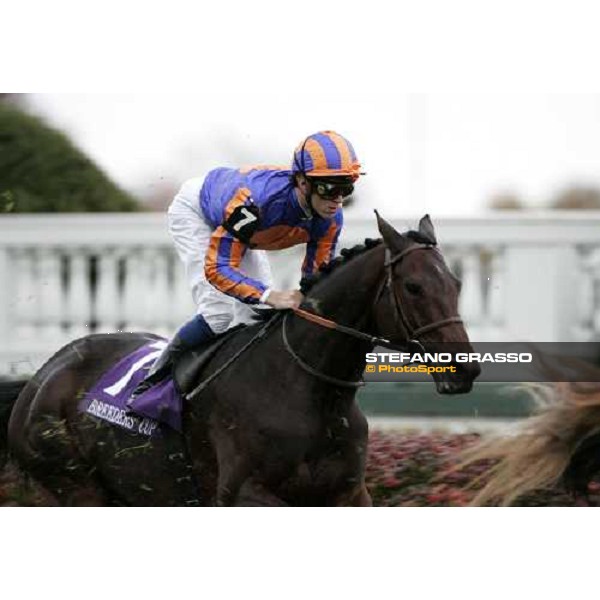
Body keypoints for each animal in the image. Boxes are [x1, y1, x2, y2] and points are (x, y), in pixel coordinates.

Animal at [0, 213, 478, 504]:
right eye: (414, 287)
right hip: (74, 484)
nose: (466, 368)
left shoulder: (348, 493)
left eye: (456, 283)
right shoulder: (243, 492)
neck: (307, 389)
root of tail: (41, 376)